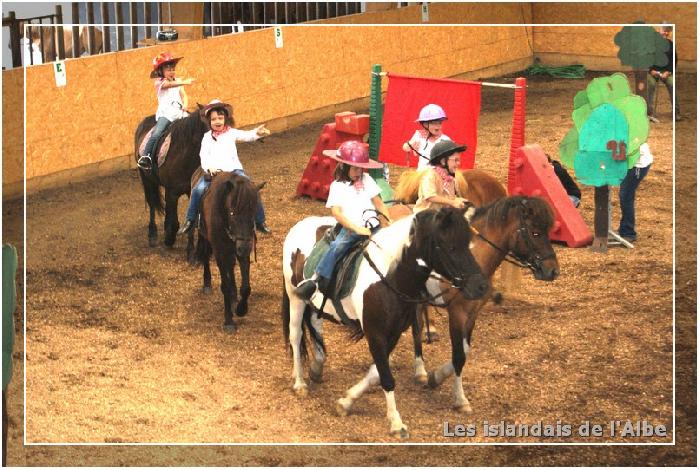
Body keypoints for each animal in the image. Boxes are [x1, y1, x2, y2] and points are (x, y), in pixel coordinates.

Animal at [134, 105, 209, 258]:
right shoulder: (172, 191)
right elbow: (172, 216)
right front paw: (170, 237)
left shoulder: (193, 190)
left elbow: (192, 220)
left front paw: (192, 250)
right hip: (147, 180)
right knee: (152, 204)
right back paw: (152, 235)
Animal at [196, 172, 264, 330]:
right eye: (232, 213)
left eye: (253, 213)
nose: (244, 247)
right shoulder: (220, 252)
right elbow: (225, 286)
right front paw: (228, 321)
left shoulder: (242, 251)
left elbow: (245, 287)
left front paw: (241, 309)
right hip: (205, 237)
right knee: (205, 256)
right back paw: (207, 283)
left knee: (231, 266)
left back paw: (234, 298)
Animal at [282, 207, 490, 438]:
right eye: (449, 246)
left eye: (468, 243)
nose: (481, 286)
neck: (391, 277)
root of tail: (301, 224)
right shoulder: (376, 334)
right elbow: (387, 377)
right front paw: (397, 423)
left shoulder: (394, 332)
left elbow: (376, 373)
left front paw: (347, 401)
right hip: (295, 297)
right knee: (295, 336)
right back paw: (299, 383)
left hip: (314, 305)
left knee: (315, 326)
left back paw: (316, 367)